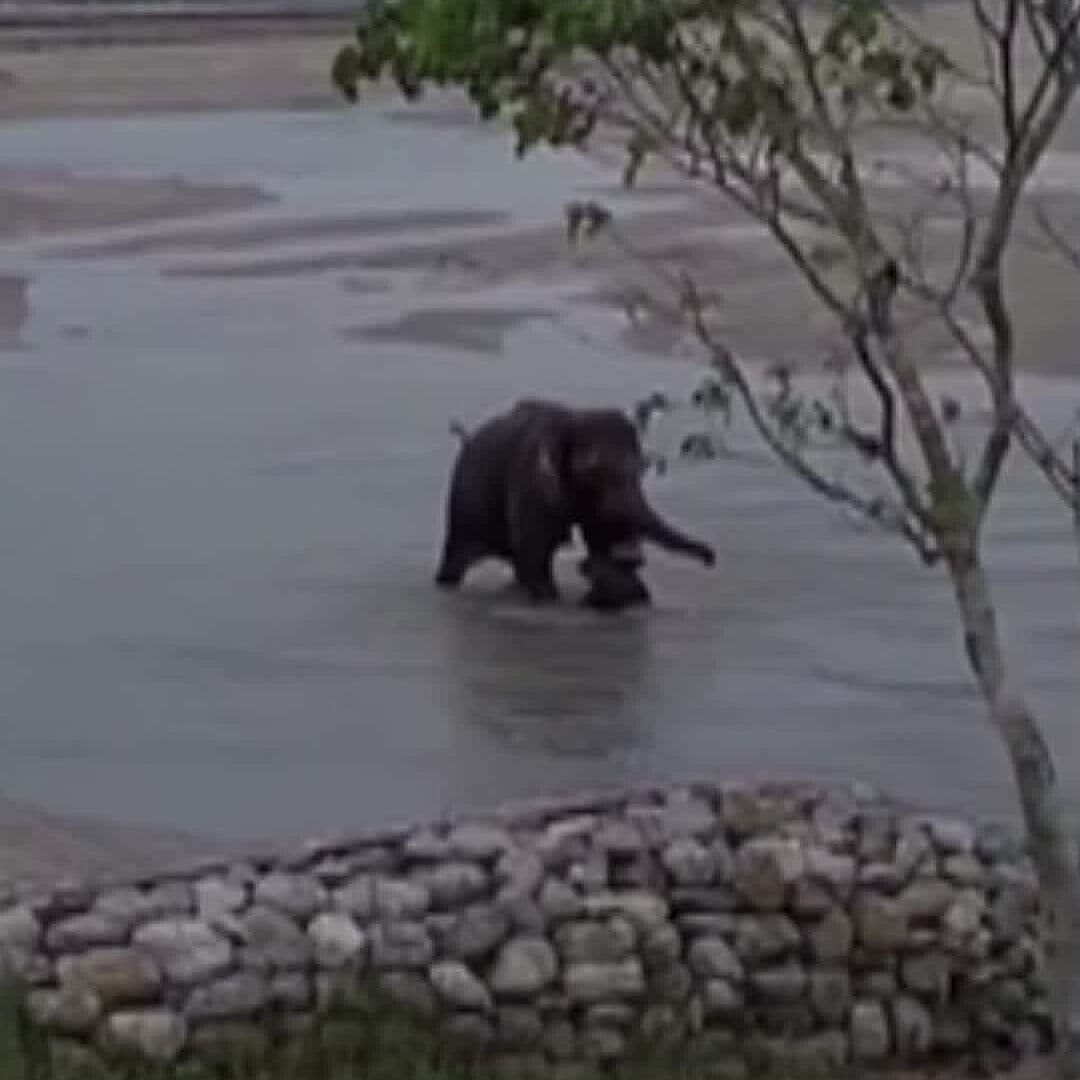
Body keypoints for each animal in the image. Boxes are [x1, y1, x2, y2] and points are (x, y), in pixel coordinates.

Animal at [434, 398, 716, 604]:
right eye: (592, 471)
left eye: (641, 468)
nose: (711, 559)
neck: (573, 417)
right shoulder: (530, 478)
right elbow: (533, 549)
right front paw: (550, 601)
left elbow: (602, 540)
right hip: (463, 504)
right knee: (457, 562)